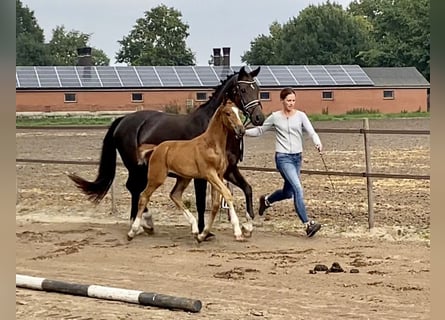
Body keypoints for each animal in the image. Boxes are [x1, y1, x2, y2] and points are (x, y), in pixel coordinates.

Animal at [128, 104, 251, 241]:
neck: (211, 145)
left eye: (239, 112)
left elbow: (215, 204)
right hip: (156, 178)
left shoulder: (219, 175)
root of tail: (156, 148)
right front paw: (238, 232)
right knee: (144, 196)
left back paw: (195, 228)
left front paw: (203, 235)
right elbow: (227, 194)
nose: (241, 130)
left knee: (175, 195)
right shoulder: (210, 174)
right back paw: (133, 231)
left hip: (183, 178)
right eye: (228, 113)